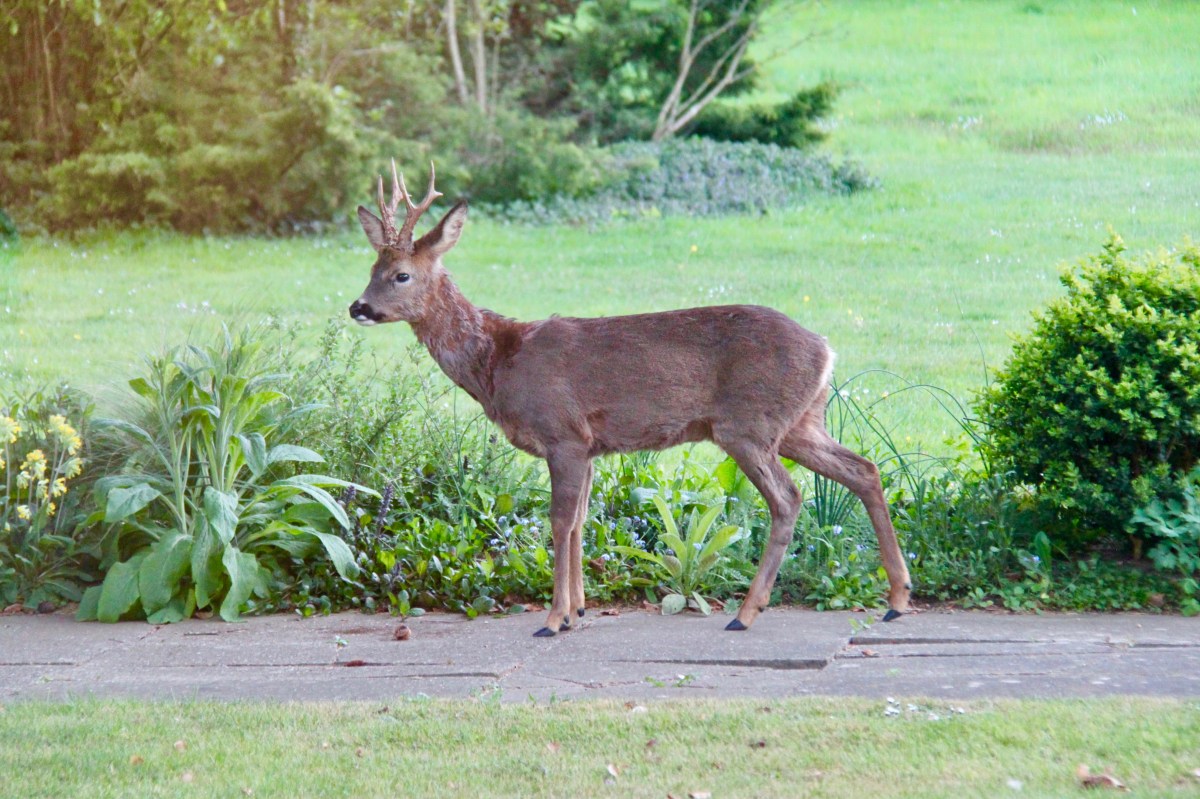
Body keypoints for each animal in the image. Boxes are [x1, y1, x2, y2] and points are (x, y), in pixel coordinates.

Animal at [348, 160, 912, 637]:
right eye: (371, 270)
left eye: (401, 275)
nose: (358, 307)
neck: (499, 362)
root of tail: (827, 349)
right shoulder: (589, 446)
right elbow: (580, 521)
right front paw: (577, 610)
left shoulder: (563, 433)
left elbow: (559, 521)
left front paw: (552, 618)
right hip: (799, 423)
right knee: (864, 469)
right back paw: (897, 598)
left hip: (747, 424)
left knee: (789, 497)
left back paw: (748, 613)